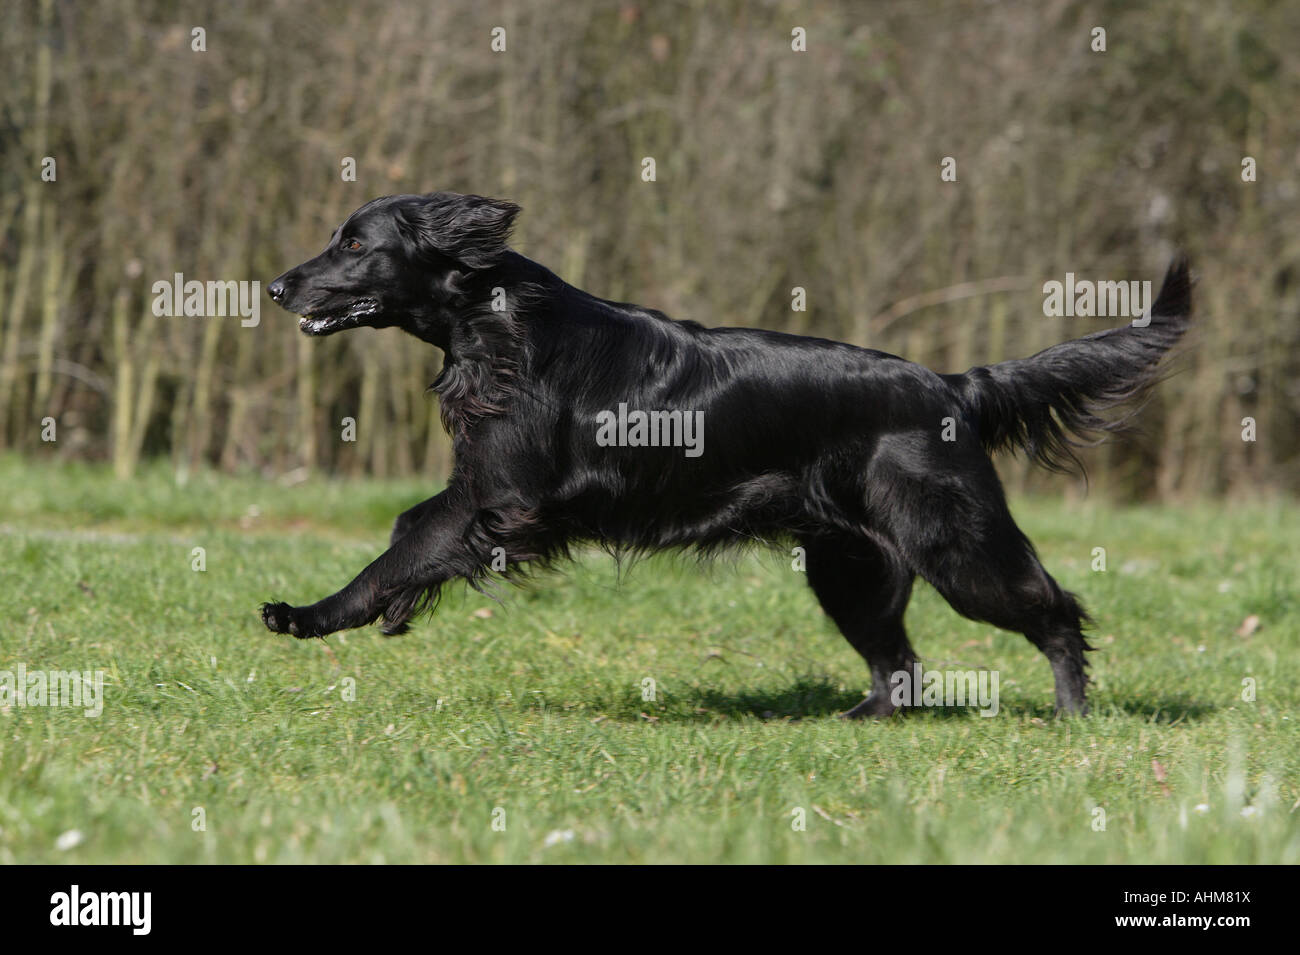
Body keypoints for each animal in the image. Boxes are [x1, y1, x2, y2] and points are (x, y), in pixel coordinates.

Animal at [261, 192, 1190, 717]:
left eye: (354, 244)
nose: (273, 285)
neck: (501, 322)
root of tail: (953, 385)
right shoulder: (488, 493)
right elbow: (412, 538)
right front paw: (386, 612)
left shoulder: (500, 493)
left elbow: (403, 544)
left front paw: (309, 614)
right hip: (850, 566)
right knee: (900, 663)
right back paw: (858, 723)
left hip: (956, 546)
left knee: (1055, 610)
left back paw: (1072, 714)